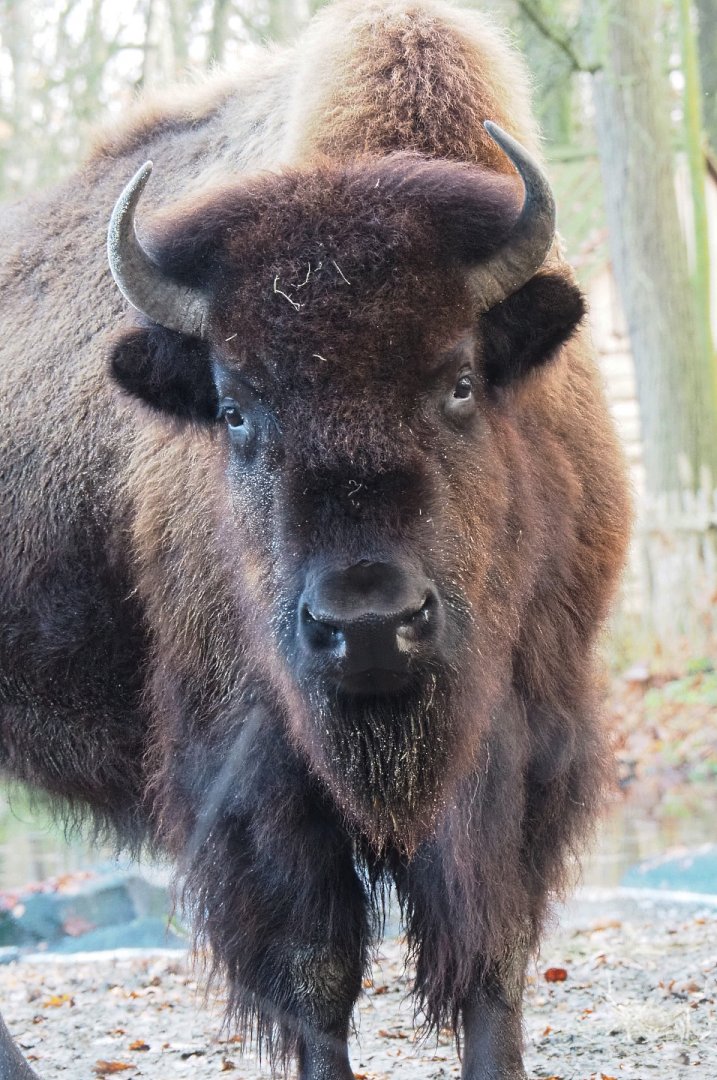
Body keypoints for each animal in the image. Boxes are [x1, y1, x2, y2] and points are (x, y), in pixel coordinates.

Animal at [0, 1, 630, 1077]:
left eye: (460, 381)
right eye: (233, 408)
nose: (366, 624)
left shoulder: (523, 741)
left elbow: (491, 962)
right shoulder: (259, 774)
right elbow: (316, 978)